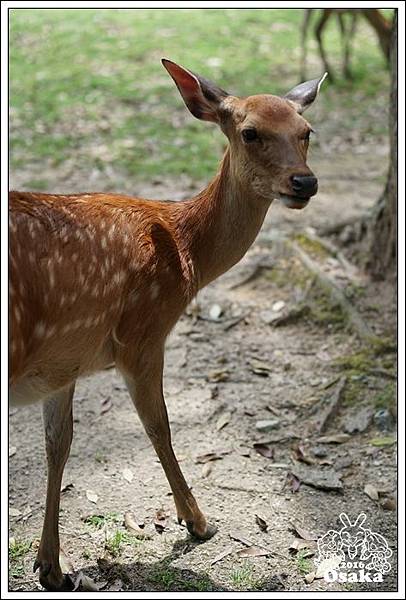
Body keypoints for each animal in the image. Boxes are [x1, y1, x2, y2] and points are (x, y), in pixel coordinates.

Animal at [9, 57, 326, 592]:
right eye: (250, 133)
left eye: (307, 132)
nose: (304, 183)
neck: (184, 253)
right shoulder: (142, 333)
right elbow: (160, 426)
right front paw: (197, 521)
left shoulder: (63, 362)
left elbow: (58, 444)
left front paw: (51, 566)